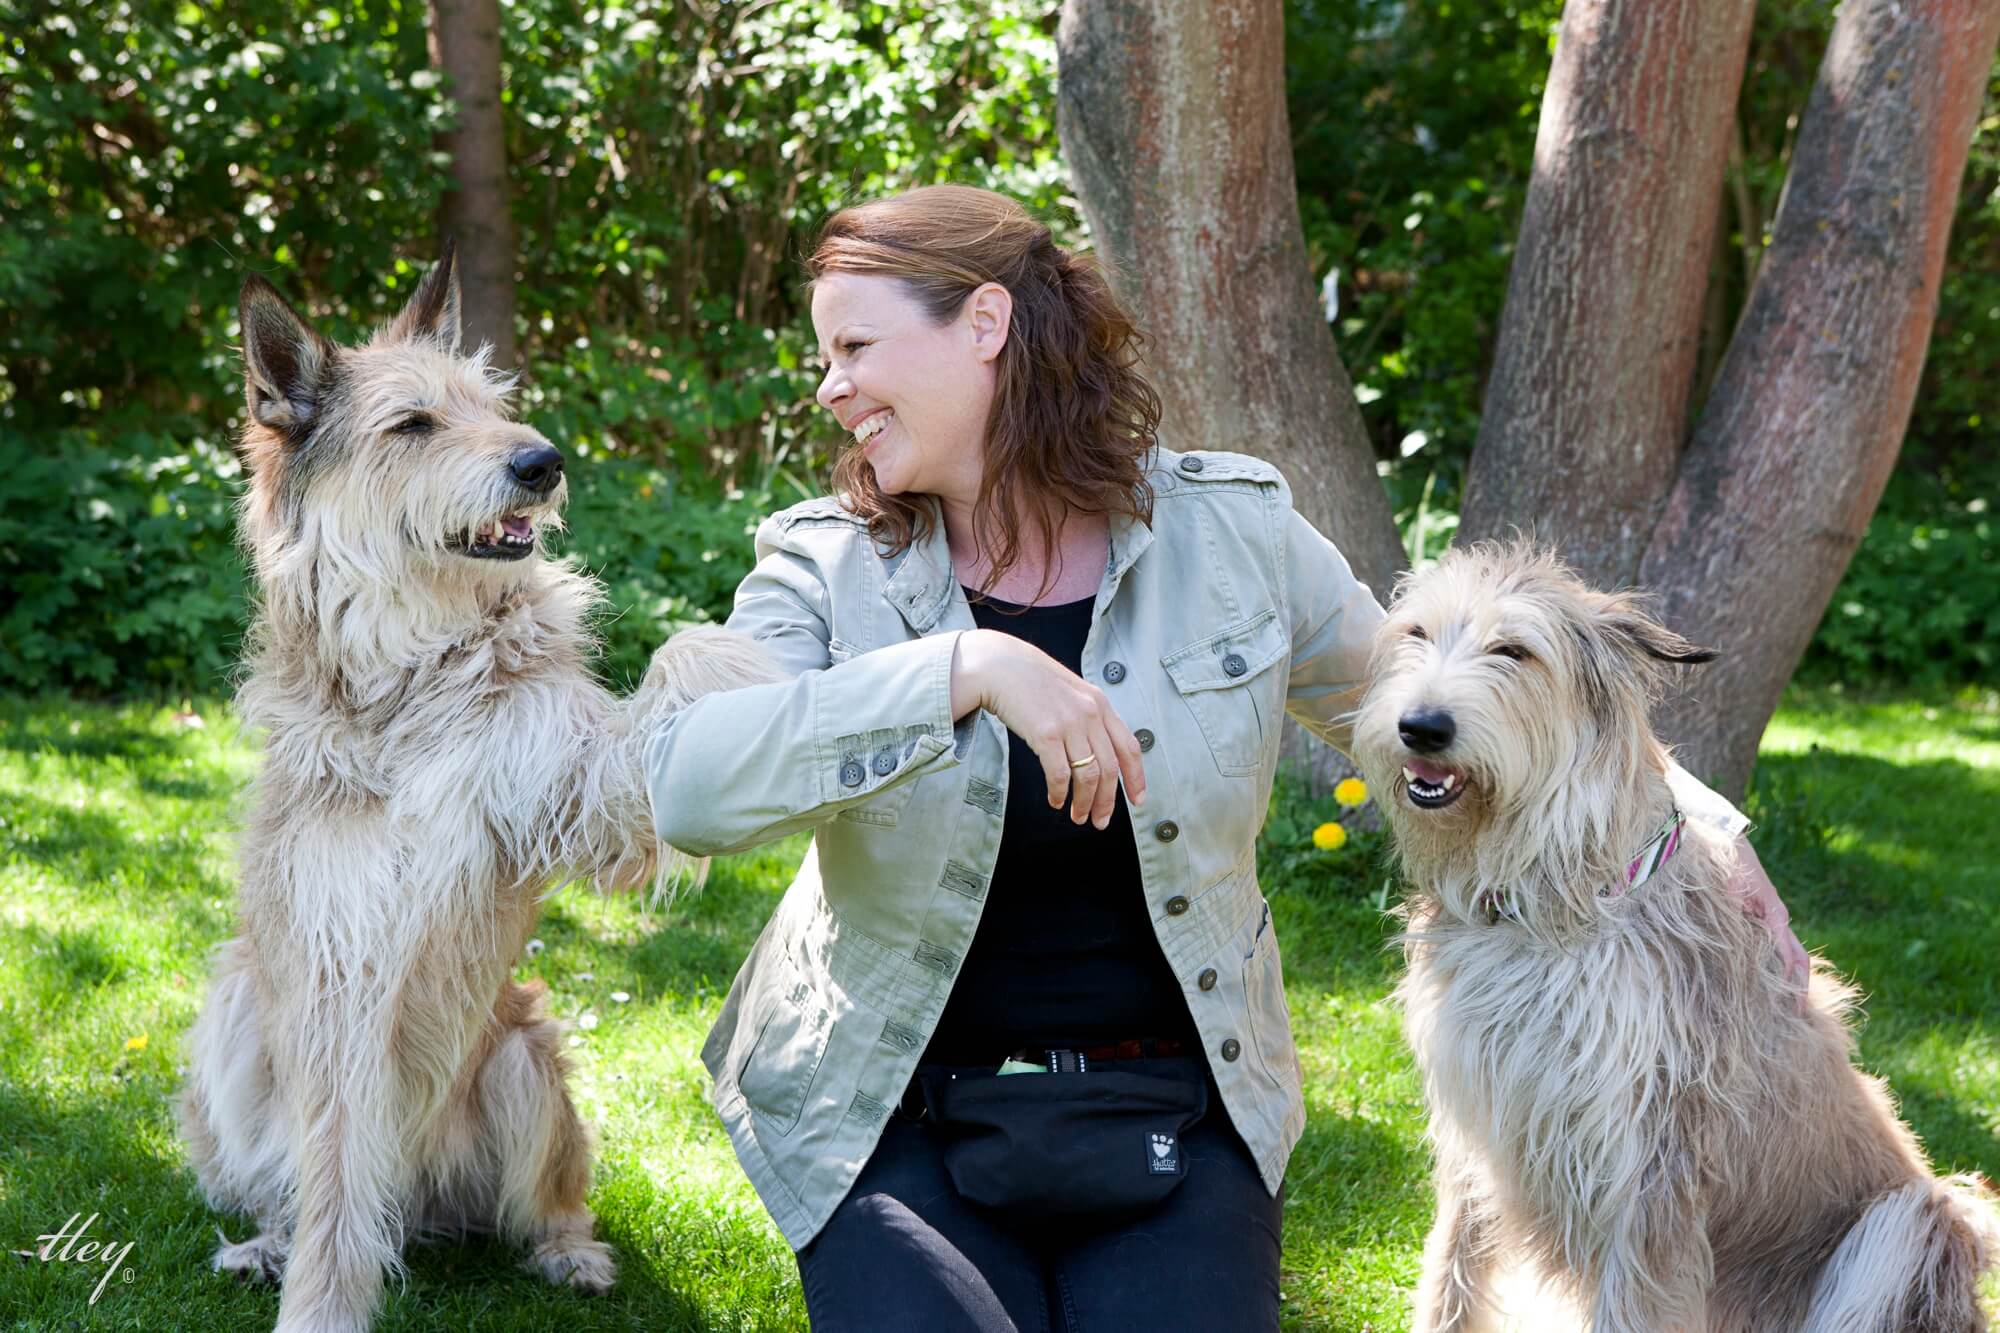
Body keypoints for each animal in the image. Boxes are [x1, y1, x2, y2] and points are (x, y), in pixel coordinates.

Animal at [178, 241, 780, 1328]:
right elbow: (332, 1176)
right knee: (307, 1183)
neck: (413, 671)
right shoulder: (339, 967)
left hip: (525, 1057)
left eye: (496, 406)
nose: (544, 462)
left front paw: (751, 648)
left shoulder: (579, 784)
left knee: (549, 1199)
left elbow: (673, 669)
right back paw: (269, 1243)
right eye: (413, 424)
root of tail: (419, 1206)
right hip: (239, 1010)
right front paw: (320, 1302)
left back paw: (570, 1254)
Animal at [1352, 540, 1992, 1328]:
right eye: (1416, 633)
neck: (1553, 902)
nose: (1421, 726)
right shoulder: (1481, 1132)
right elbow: (1454, 1274)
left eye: (1513, 651)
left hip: (1913, 1221)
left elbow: (1632, 1299)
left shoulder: (1654, 1165)